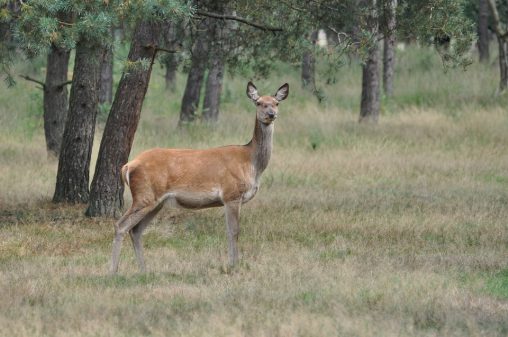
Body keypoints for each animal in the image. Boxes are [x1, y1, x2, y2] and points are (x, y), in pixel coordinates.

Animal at [108, 81, 288, 272]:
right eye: (259, 102)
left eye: (276, 103)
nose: (271, 114)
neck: (251, 162)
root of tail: (128, 166)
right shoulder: (231, 194)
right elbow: (233, 231)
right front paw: (233, 265)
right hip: (144, 195)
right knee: (121, 225)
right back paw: (113, 270)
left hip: (156, 201)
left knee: (136, 230)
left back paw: (144, 269)